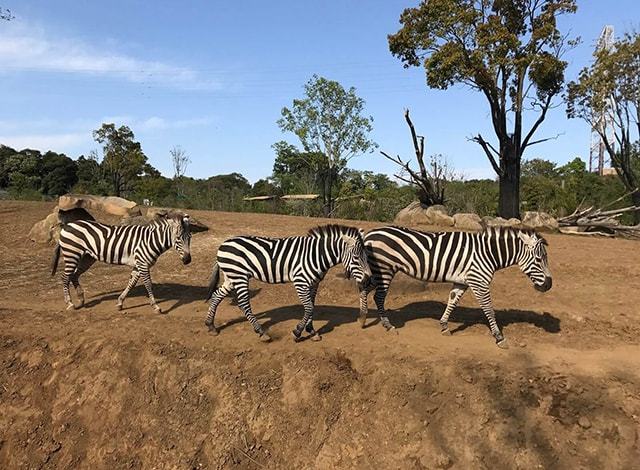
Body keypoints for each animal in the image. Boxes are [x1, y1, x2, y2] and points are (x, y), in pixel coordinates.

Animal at [51, 211, 191, 314]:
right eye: (178, 238)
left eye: (189, 237)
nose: (188, 260)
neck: (150, 240)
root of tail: (67, 225)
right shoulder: (143, 264)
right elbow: (148, 284)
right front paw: (155, 306)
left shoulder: (138, 265)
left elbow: (131, 283)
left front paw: (120, 302)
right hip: (72, 253)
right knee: (65, 277)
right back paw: (70, 303)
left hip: (87, 258)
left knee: (74, 275)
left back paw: (80, 300)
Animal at [205, 224, 372, 342]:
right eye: (356, 257)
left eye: (366, 256)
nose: (369, 280)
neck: (317, 255)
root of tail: (223, 244)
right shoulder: (300, 282)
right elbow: (309, 308)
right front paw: (297, 332)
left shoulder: (314, 283)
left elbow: (312, 306)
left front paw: (311, 331)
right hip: (239, 276)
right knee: (243, 303)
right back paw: (261, 332)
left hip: (230, 277)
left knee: (216, 295)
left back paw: (210, 325)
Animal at [358, 226, 552, 346]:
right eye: (539, 259)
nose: (549, 285)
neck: (488, 253)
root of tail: (370, 233)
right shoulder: (479, 281)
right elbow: (489, 309)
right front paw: (499, 337)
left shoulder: (462, 281)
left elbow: (452, 301)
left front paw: (444, 326)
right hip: (384, 269)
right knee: (378, 296)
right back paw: (386, 325)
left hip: (377, 271)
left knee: (364, 288)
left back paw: (362, 318)